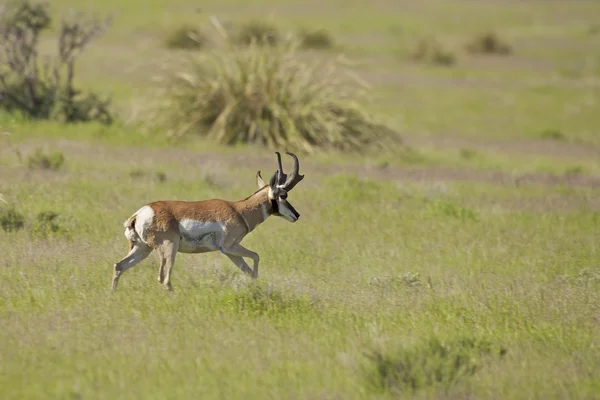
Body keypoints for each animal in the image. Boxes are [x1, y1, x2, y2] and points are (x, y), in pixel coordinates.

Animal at [111, 151, 304, 290]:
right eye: (283, 195)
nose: (297, 215)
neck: (238, 210)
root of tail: (140, 214)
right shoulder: (229, 246)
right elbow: (256, 256)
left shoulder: (230, 252)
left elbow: (249, 270)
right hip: (168, 248)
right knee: (163, 278)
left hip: (142, 249)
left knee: (119, 266)